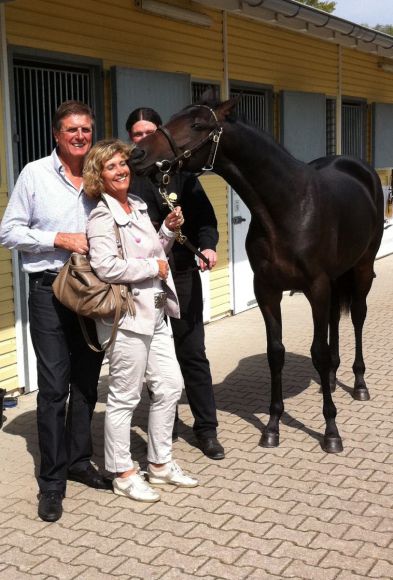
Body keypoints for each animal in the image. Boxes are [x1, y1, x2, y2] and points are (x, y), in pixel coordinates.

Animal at [131, 98, 382, 454]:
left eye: (197, 125)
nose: (137, 154)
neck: (289, 206)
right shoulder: (266, 290)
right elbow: (275, 353)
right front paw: (273, 427)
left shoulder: (316, 287)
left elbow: (317, 351)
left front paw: (331, 431)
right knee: (335, 319)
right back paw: (331, 380)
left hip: (361, 268)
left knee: (358, 317)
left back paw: (358, 383)